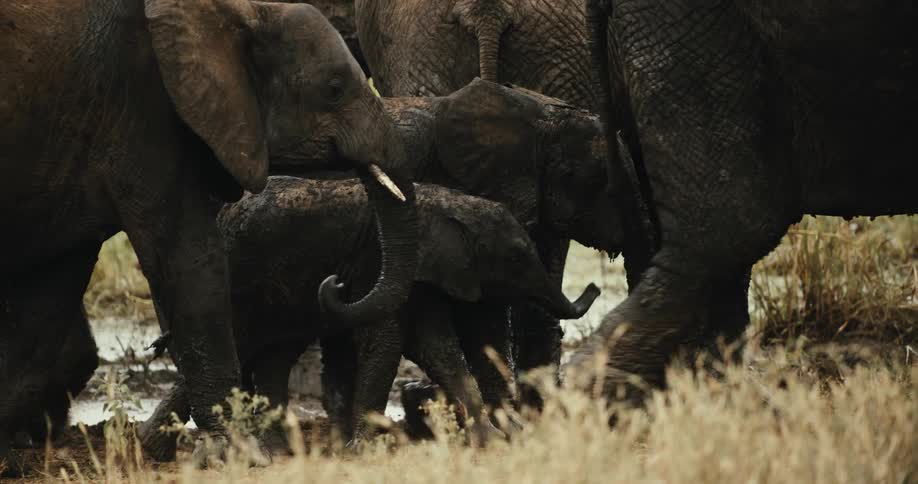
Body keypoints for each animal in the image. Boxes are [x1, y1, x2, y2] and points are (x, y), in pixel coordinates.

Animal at [0, 0, 418, 469]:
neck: (240, 10)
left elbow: (47, 296)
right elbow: (190, 263)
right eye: (333, 89)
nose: (337, 283)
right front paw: (242, 455)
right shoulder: (144, 110)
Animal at [140, 177, 600, 458]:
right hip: (237, 279)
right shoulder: (379, 264)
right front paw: (362, 449)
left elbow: (435, 345)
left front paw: (499, 439)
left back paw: (275, 451)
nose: (595, 287)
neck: (446, 202)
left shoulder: (426, 275)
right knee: (241, 344)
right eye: (518, 258)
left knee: (274, 354)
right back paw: (160, 451)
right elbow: (393, 341)